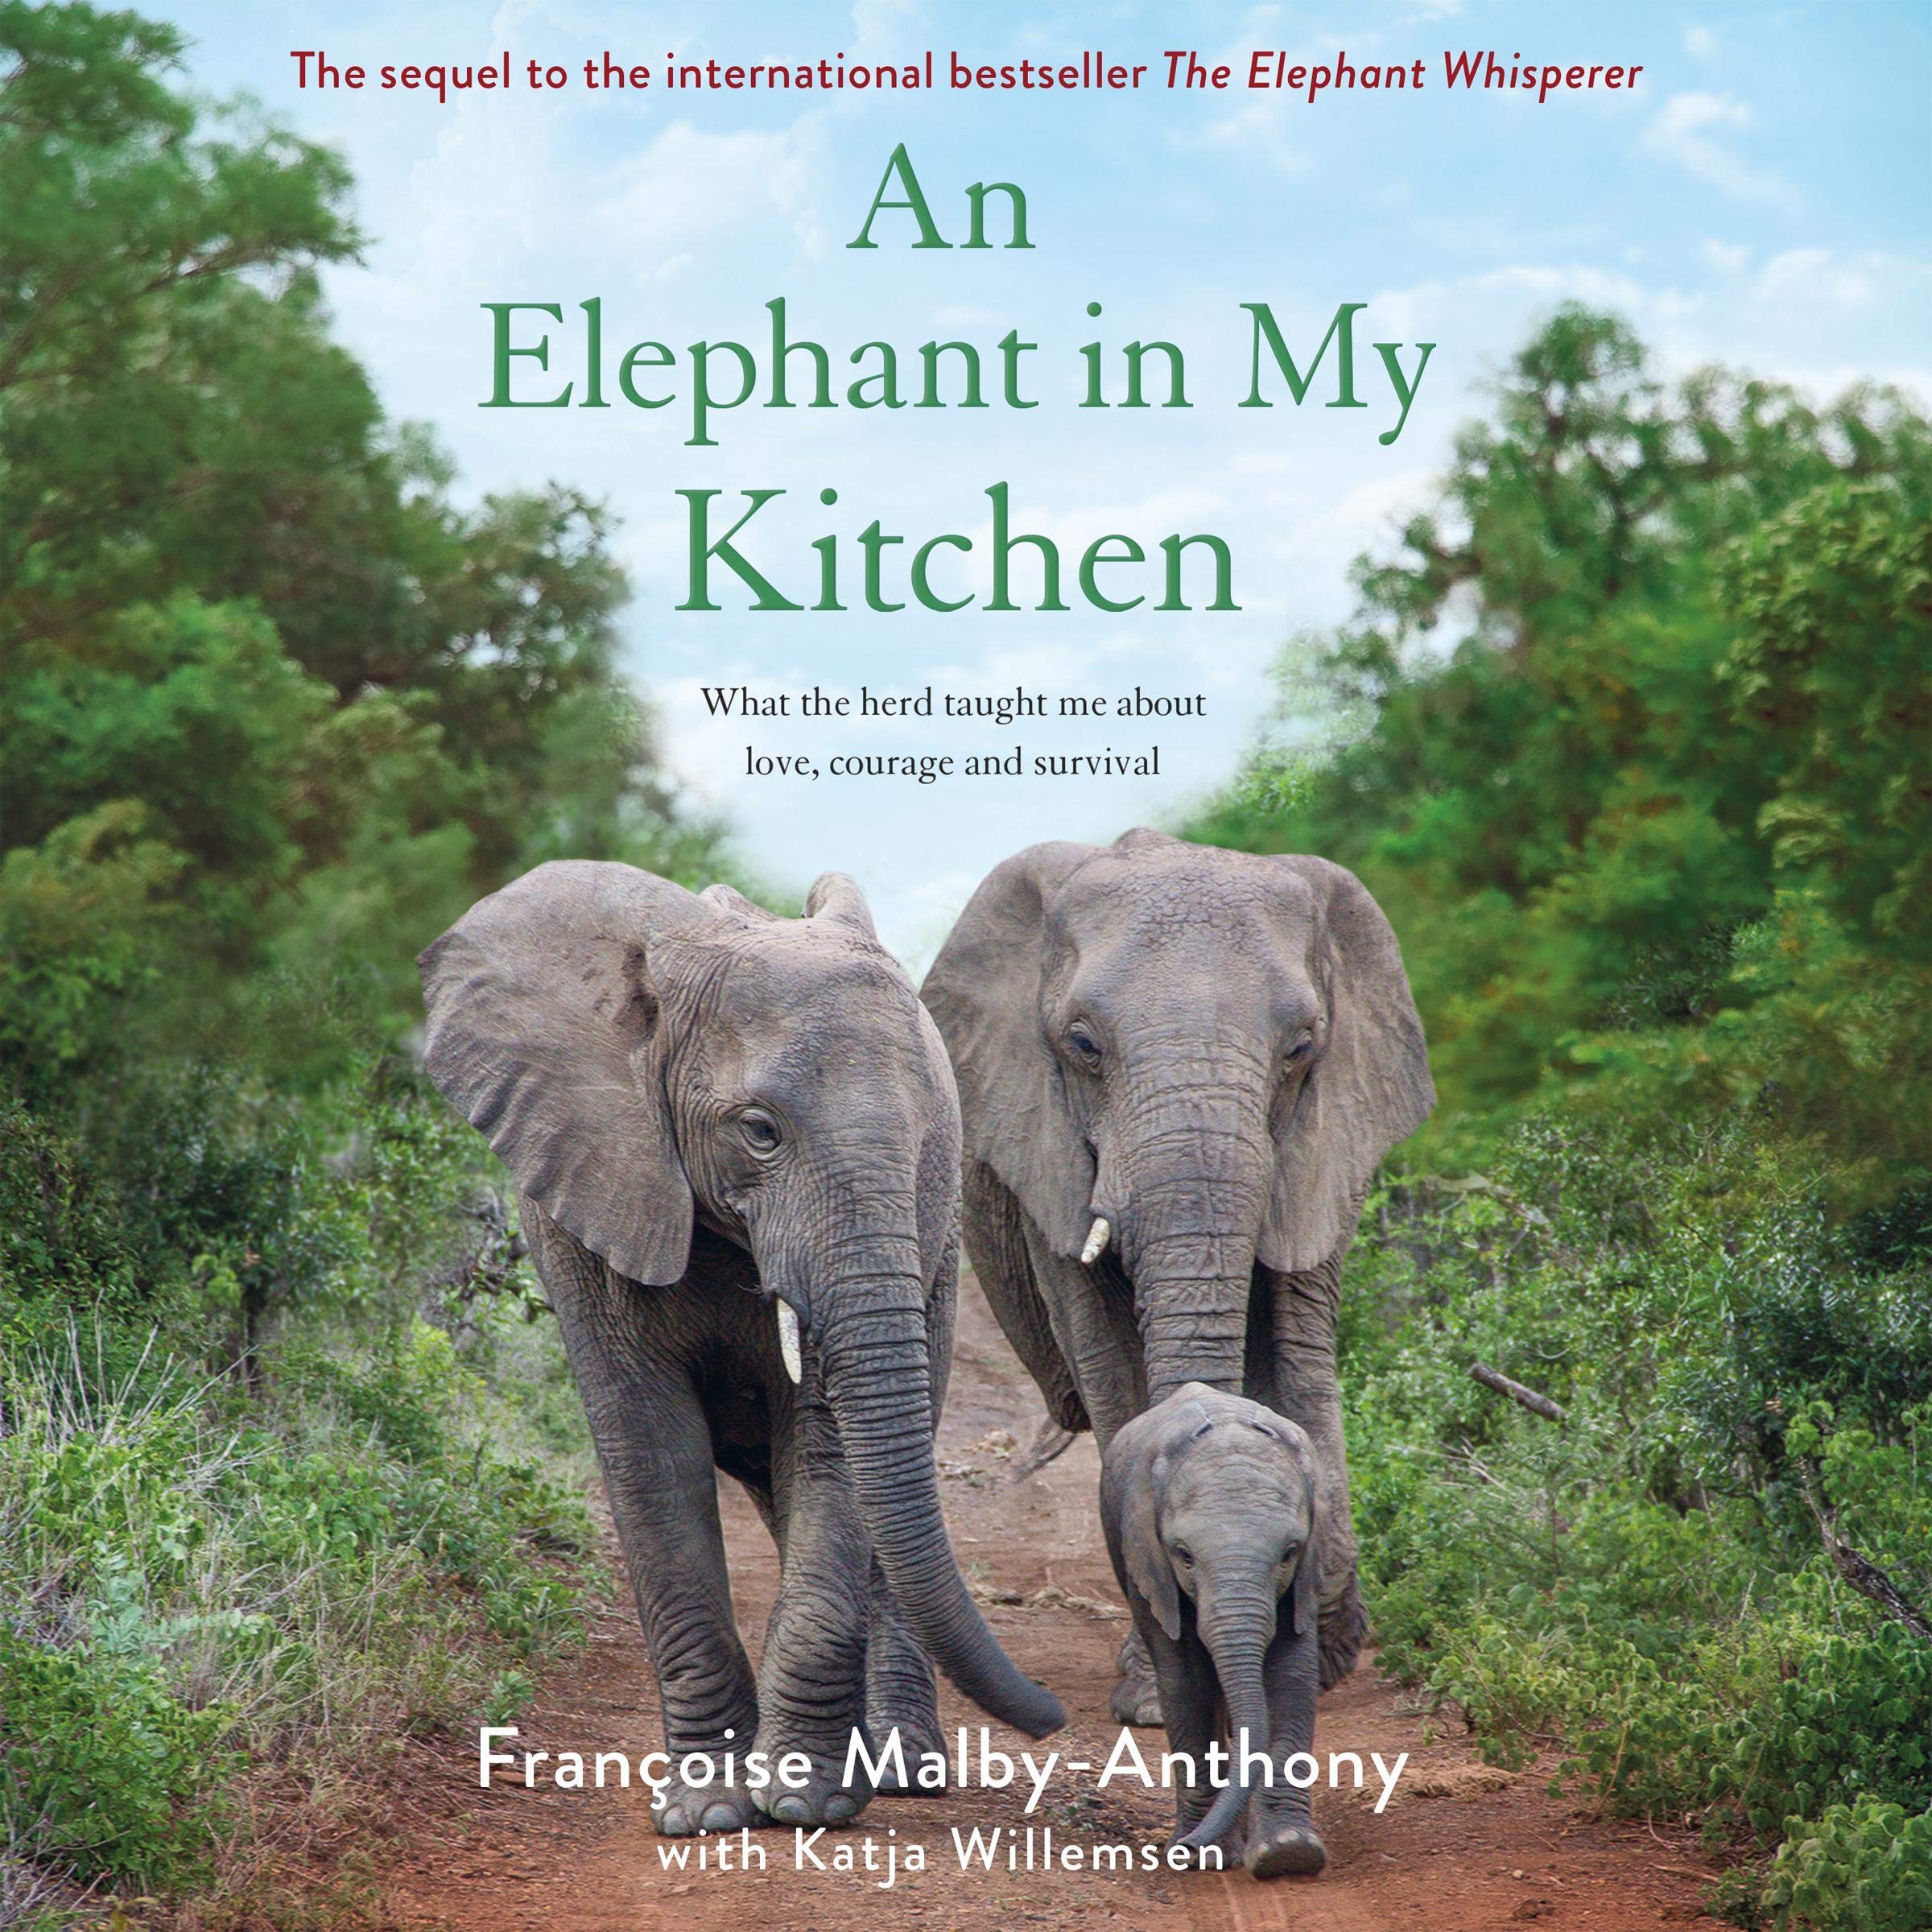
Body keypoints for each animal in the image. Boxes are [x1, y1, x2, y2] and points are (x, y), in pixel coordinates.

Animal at [418, 861, 1064, 1837]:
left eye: (927, 1143)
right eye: (760, 1131)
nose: (1054, 1718)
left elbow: (830, 1448)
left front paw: (802, 1802)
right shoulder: (585, 1190)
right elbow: (650, 1454)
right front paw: (705, 1813)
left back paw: (902, 1770)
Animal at [922, 827, 1432, 1720]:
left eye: (1302, 1048)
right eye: (1083, 1045)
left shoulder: (1326, 1141)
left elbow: (1300, 1359)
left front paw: (1320, 1654)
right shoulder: (1048, 1158)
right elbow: (1112, 1366)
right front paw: (1155, 1696)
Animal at [1100, 1384, 1326, 1879]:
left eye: (1289, 1552)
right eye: (1184, 1555)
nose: (1183, 1847)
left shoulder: (1305, 1576)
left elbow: (1291, 1676)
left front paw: (1288, 1853)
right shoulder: (1148, 1560)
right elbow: (1186, 1681)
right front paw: (1206, 1857)